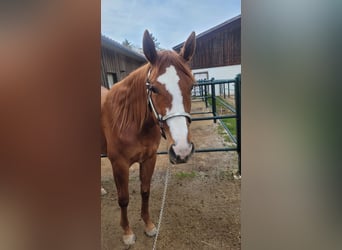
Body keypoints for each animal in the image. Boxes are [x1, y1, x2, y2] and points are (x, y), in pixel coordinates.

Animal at [101, 29, 195, 244]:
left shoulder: (149, 158)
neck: (129, 120)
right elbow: (124, 198)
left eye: (192, 86)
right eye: (153, 88)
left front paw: (149, 225)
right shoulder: (119, 164)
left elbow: (145, 191)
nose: (182, 151)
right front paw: (127, 233)